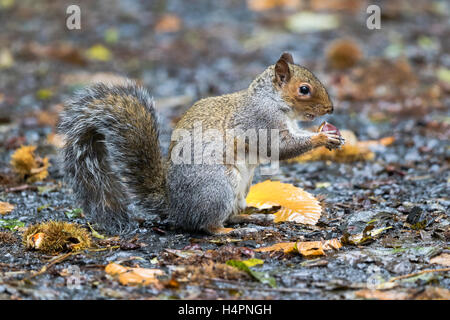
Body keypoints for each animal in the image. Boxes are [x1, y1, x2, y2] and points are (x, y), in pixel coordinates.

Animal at [59, 53, 342, 235]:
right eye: (304, 89)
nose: (331, 109)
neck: (272, 100)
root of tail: (176, 207)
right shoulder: (261, 122)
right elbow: (280, 147)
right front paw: (322, 137)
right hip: (218, 187)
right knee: (206, 225)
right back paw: (229, 232)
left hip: (240, 190)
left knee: (230, 214)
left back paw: (251, 217)